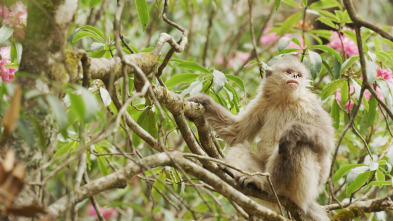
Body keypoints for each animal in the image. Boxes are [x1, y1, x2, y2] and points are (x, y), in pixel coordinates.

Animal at [187, 55, 334, 221]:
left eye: (299, 74)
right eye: (289, 72)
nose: (295, 77)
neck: (285, 100)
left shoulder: (309, 103)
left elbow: (326, 143)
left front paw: (294, 131)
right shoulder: (262, 101)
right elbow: (236, 133)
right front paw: (203, 101)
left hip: (301, 190)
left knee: (297, 146)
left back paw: (268, 186)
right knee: (241, 147)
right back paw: (233, 173)